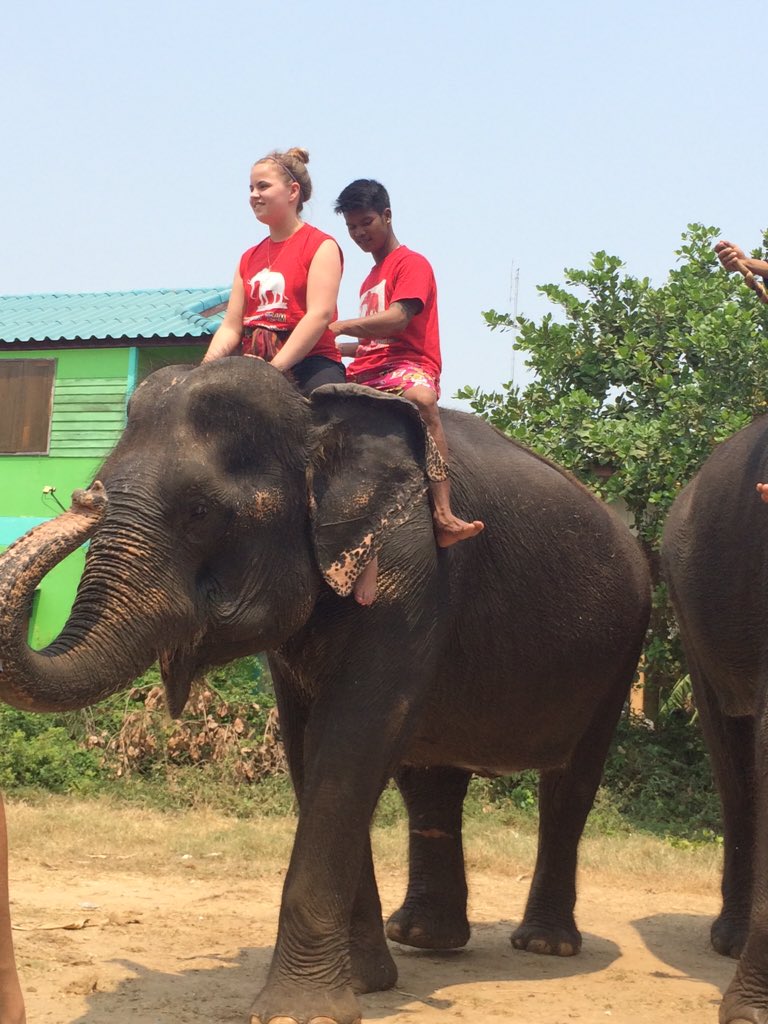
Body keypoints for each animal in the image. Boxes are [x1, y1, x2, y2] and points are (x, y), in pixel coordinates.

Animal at [0, 358, 651, 1024]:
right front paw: (362, 985)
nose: (86, 499)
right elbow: (309, 749)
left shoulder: (409, 570)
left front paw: (300, 1011)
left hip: (623, 647)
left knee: (569, 787)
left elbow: (354, 741)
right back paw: (423, 938)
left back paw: (544, 945)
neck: (314, 416)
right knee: (432, 781)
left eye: (200, 512)